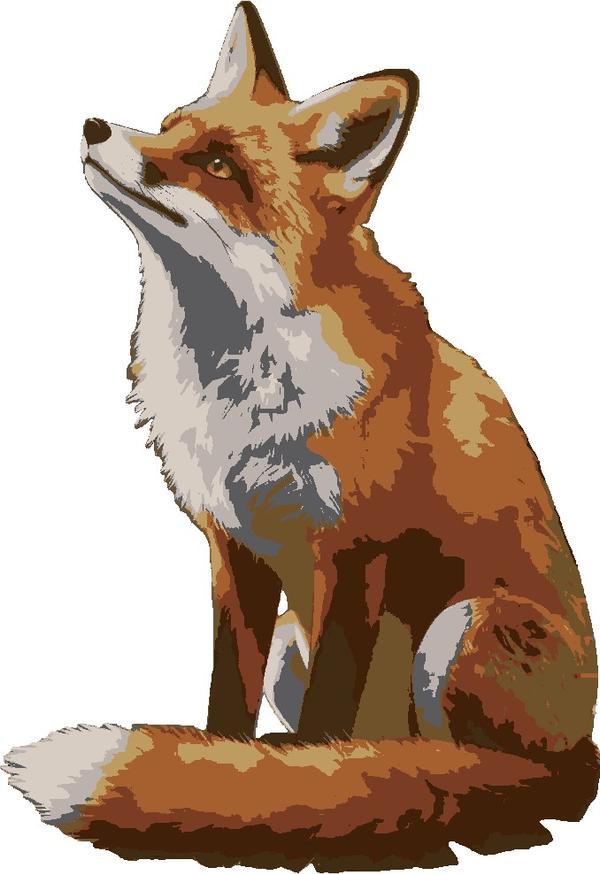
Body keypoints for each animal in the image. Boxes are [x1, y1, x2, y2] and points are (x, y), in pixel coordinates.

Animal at [4, 2, 598, 870]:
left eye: (218, 164)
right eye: (169, 124)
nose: (93, 125)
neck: (241, 380)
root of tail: (586, 742)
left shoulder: (353, 552)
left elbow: (325, 727)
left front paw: (300, 802)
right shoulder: (237, 552)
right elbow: (228, 705)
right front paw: (222, 780)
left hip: (466, 625)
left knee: (503, 775)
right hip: (299, 636)